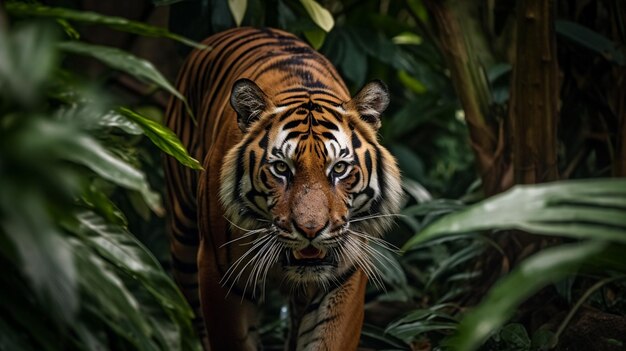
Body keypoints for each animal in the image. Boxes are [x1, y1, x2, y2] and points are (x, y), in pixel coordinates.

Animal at [163, 27, 402, 351]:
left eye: (339, 168)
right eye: (281, 169)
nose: (311, 230)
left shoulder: (345, 276)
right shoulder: (219, 272)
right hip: (184, 241)